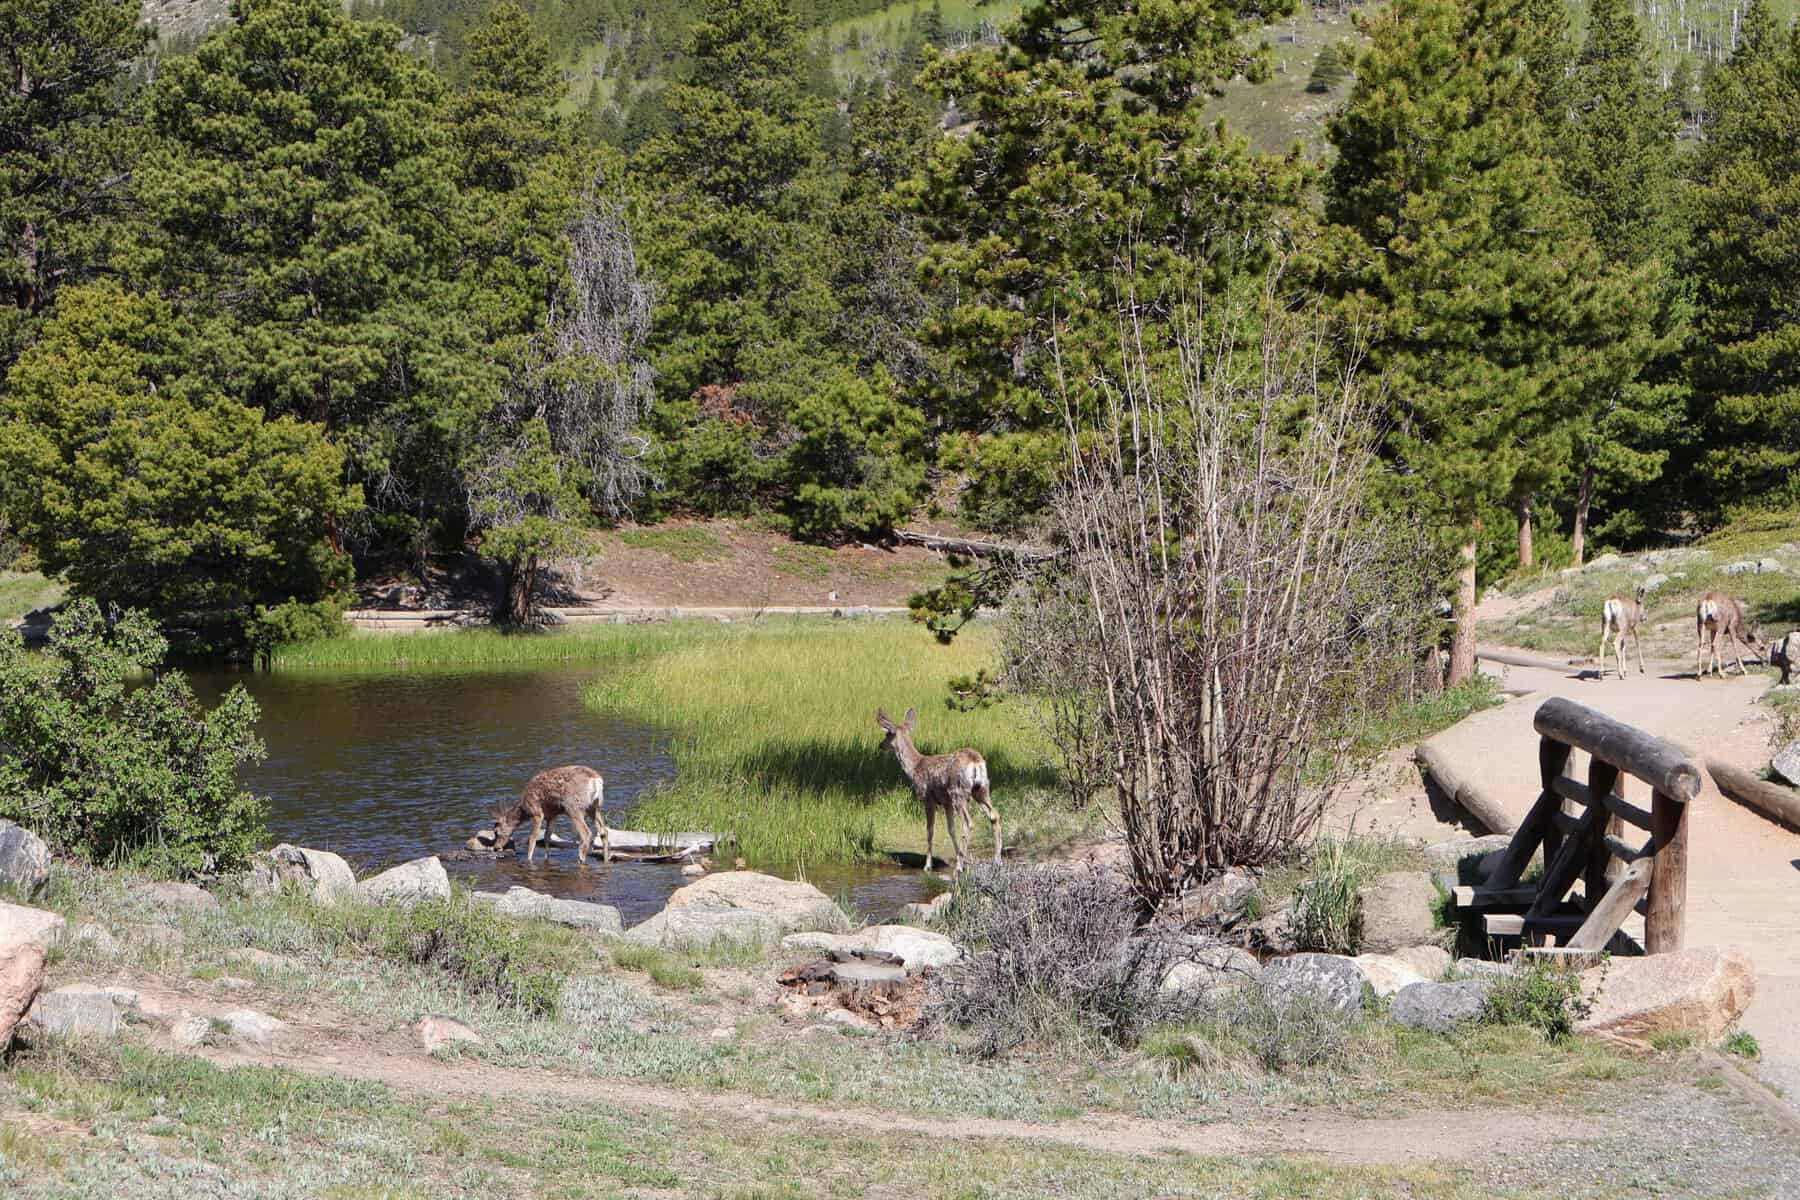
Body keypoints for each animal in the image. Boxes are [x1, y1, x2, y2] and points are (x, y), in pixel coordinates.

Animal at [876, 707, 999, 875]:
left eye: (887, 734)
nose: (880, 745)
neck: (914, 767)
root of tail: (976, 761)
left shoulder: (928, 798)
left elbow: (930, 831)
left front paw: (928, 866)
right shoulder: (946, 802)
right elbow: (950, 829)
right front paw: (959, 856)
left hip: (958, 792)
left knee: (968, 823)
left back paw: (960, 868)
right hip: (981, 789)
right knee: (995, 815)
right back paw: (997, 861)